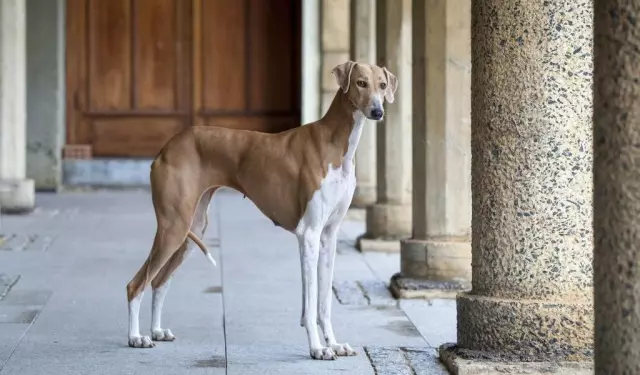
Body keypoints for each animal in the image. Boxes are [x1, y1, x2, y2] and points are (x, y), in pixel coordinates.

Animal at [124, 61, 396, 362]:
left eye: (382, 85)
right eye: (360, 83)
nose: (377, 111)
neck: (335, 143)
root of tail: (167, 147)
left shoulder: (328, 236)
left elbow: (324, 301)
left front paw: (334, 344)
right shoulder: (309, 235)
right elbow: (311, 302)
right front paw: (317, 348)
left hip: (191, 231)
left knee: (159, 281)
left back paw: (156, 331)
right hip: (173, 228)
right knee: (137, 284)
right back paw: (136, 337)